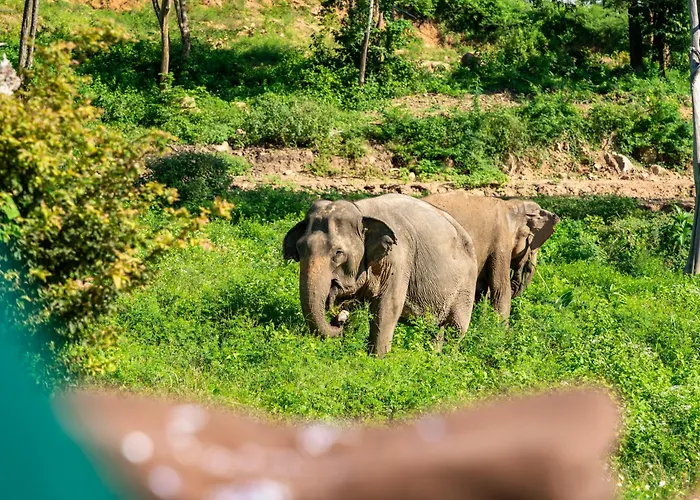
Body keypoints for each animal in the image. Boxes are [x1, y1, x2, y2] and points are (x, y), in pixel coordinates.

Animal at [283, 193, 479, 357]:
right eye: (299, 248)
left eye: (338, 253)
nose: (339, 319)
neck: (360, 211)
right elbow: (352, 303)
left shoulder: (399, 258)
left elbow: (388, 306)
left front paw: (377, 359)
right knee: (435, 330)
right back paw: (432, 357)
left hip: (466, 285)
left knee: (456, 330)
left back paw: (445, 361)